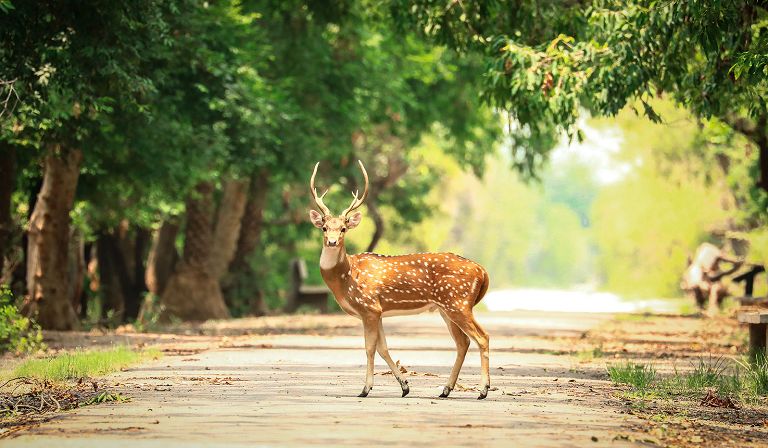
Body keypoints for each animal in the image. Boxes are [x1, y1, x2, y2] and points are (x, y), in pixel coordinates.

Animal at [308, 160, 492, 399]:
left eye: (343, 228)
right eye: (324, 227)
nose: (331, 241)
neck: (347, 278)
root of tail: (482, 271)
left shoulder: (369, 307)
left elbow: (369, 348)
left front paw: (365, 389)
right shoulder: (378, 311)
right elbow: (383, 348)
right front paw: (405, 386)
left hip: (458, 302)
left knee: (482, 337)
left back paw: (483, 390)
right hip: (447, 307)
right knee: (463, 342)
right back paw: (445, 390)